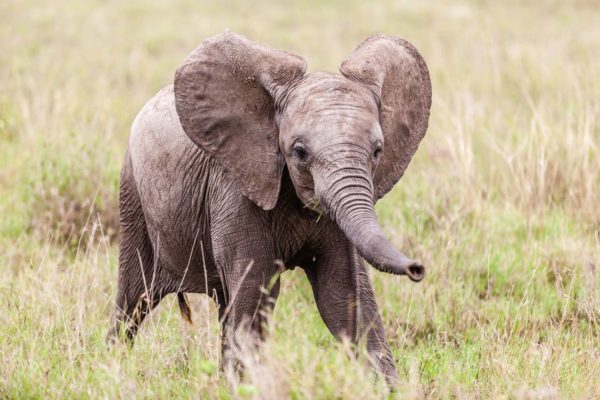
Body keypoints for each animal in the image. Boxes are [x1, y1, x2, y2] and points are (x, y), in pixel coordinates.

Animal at [108, 31, 432, 384]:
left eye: (377, 151)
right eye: (299, 152)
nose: (417, 268)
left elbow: (344, 298)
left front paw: (389, 388)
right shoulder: (235, 190)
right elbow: (256, 295)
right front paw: (246, 386)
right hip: (133, 194)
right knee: (134, 299)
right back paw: (111, 366)